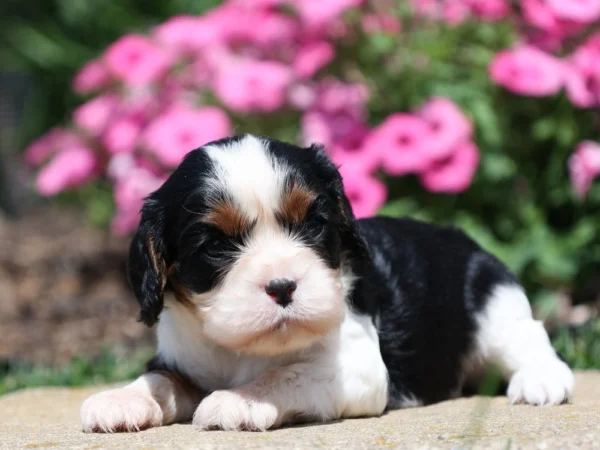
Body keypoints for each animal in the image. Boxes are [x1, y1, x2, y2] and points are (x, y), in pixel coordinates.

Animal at [79, 134, 572, 432]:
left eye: (314, 224)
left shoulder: (357, 366)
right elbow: (159, 379)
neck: (243, 348)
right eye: (215, 245)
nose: (282, 286)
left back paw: (542, 379)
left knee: (526, 338)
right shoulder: (179, 356)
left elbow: (287, 373)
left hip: (493, 302)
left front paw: (238, 399)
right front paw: (120, 399)